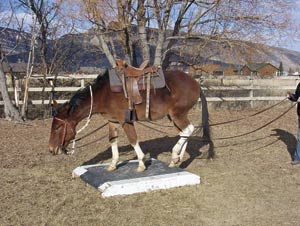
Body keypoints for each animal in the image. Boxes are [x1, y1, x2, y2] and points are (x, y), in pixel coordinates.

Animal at [48, 66, 213, 172]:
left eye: (57, 127)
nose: (51, 149)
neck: (104, 94)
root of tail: (196, 84)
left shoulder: (125, 121)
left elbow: (133, 140)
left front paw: (141, 164)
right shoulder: (112, 121)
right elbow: (113, 140)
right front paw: (113, 164)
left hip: (177, 114)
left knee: (188, 129)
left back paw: (174, 156)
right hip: (174, 116)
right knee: (184, 133)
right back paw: (177, 160)